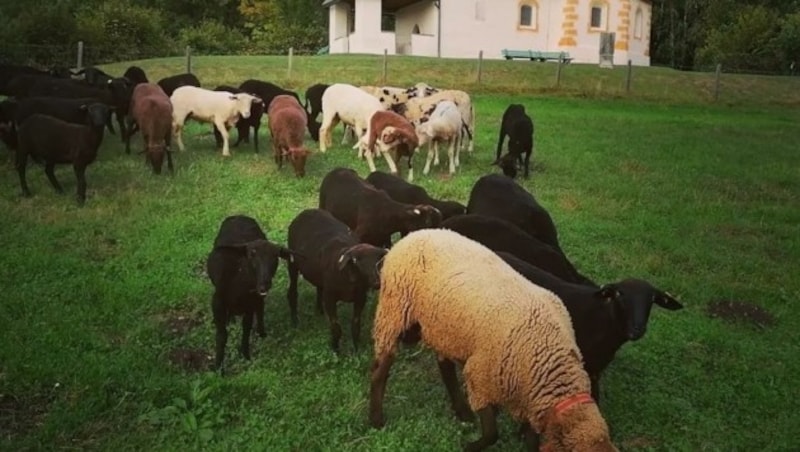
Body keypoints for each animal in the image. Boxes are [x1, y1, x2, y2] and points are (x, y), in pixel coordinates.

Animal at [205, 215, 296, 370]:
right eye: (251, 255)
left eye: (275, 257)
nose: (265, 283)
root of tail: (238, 215)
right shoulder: (217, 302)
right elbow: (222, 335)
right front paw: (218, 367)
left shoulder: (250, 303)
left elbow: (246, 329)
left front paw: (246, 355)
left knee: (260, 308)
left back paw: (261, 331)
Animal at [286, 208, 390, 354]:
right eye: (356, 262)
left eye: (379, 262)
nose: (377, 283)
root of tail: (307, 211)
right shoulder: (330, 297)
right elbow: (336, 327)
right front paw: (335, 350)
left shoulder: (360, 298)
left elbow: (356, 325)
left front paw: (356, 349)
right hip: (292, 263)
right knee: (292, 291)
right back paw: (295, 321)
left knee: (319, 288)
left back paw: (319, 310)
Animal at [368, 230, 620, 452]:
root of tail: (416, 234)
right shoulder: (480, 377)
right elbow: (491, 433)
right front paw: (470, 446)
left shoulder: (527, 398)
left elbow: (529, 439)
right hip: (394, 310)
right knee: (381, 369)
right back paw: (376, 418)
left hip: (443, 327)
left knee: (445, 366)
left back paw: (461, 411)